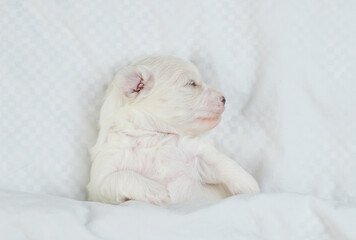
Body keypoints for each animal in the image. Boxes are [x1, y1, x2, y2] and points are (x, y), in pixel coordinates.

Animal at [86, 55, 258, 204]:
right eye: (191, 83)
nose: (224, 99)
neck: (154, 136)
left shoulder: (198, 154)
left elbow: (222, 163)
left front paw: (250, 185)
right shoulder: (100, 179)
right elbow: (121, 176)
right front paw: (157, 191)